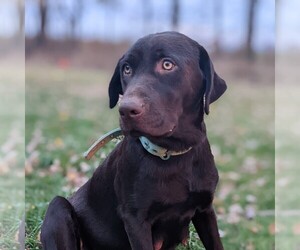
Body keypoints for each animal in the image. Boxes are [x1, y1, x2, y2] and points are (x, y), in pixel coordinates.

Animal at [41, 31, 226, 250]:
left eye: (167, 64)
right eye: (127, 69)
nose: (126, 109)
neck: (171, 153)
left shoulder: (205, 209)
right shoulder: (135, 220)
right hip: (58, 206)